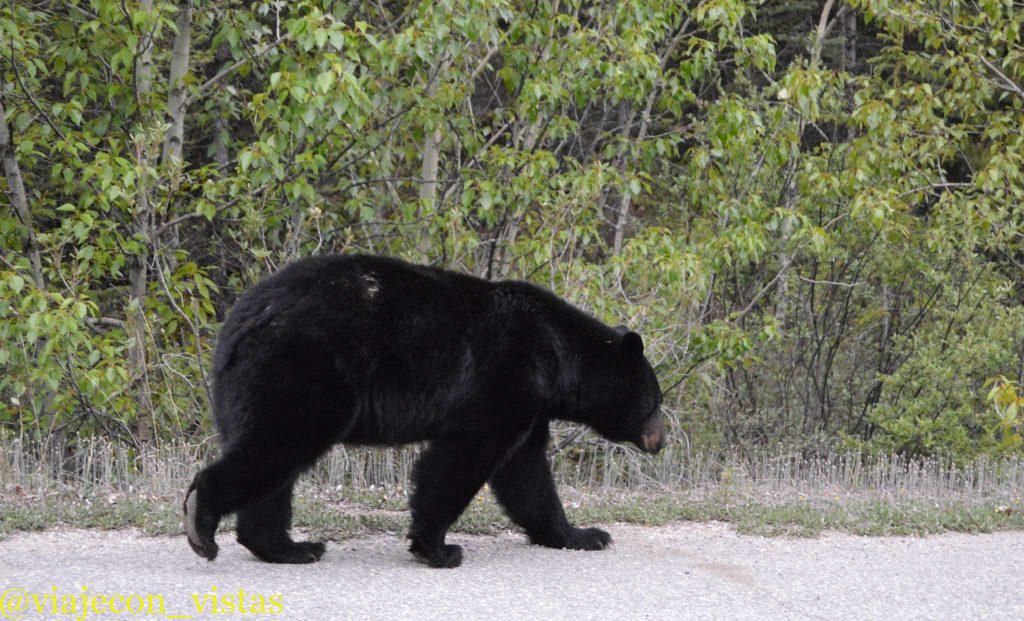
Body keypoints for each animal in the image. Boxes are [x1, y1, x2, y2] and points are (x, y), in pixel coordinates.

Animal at [183, 254, 665, 568]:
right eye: (655, 403)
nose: (660, 442)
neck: (556, 353)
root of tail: (240, 320)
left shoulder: (530, 402)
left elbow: (525, 474)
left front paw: (583, 535)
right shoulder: (506, 375)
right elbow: (465, 454)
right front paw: (438, 549)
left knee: (272, 463)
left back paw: (289, 547)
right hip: (305, 369)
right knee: (278, 444)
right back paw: (202, 525)